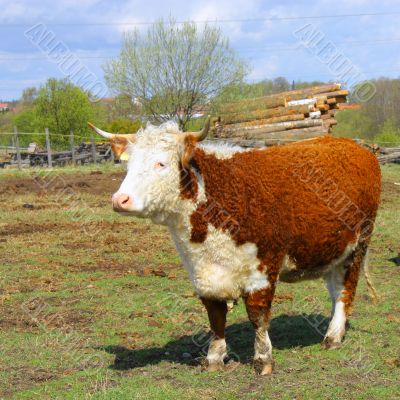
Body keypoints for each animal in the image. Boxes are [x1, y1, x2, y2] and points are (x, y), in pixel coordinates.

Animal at [88, 119, 382, 376]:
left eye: (160, 163)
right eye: (128, 165)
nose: (120, 199)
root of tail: (352, 146)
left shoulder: (263, 268)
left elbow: (258, 316)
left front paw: (263, 359)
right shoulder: (203, 272)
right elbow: (215, 316)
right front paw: (214, 358)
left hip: (357, 248)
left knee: (345, 291)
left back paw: (333, 336)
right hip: (333, 250)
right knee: (335, 290)